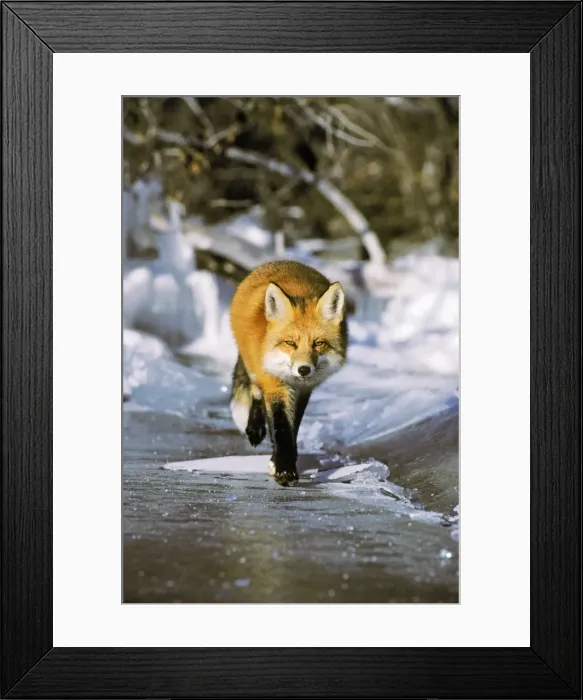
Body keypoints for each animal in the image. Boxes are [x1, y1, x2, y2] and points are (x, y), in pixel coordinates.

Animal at [229, 260, 348, 486]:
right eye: (290, 343)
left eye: (318, 344)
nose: (304, 369)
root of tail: (284, 262)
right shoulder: (275, 385)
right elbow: (281, 427)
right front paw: (284, 470)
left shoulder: (303, 390)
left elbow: (293, 427)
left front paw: (281, 462)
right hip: (253, 367)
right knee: (256, 394)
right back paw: (255, 429)